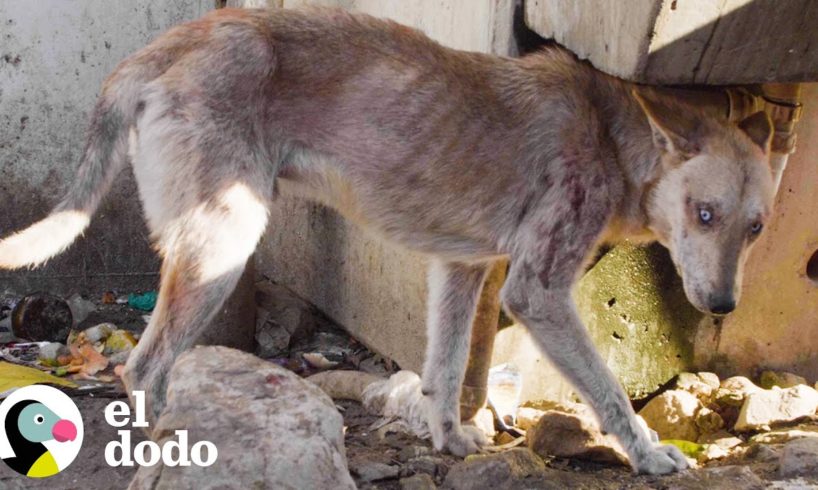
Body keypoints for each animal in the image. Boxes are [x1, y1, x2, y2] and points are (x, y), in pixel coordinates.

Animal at [0, 7, 772, 474]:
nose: (723, 306)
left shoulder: (460, 269)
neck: (613, 135)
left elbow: (446, 368)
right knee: (144, 369)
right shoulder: (538, 292)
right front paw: (649, 456)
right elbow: (608, 389)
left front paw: (452, 440)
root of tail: (174, 40)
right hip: (221, 248)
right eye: (704, 213)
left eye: (756, 227)